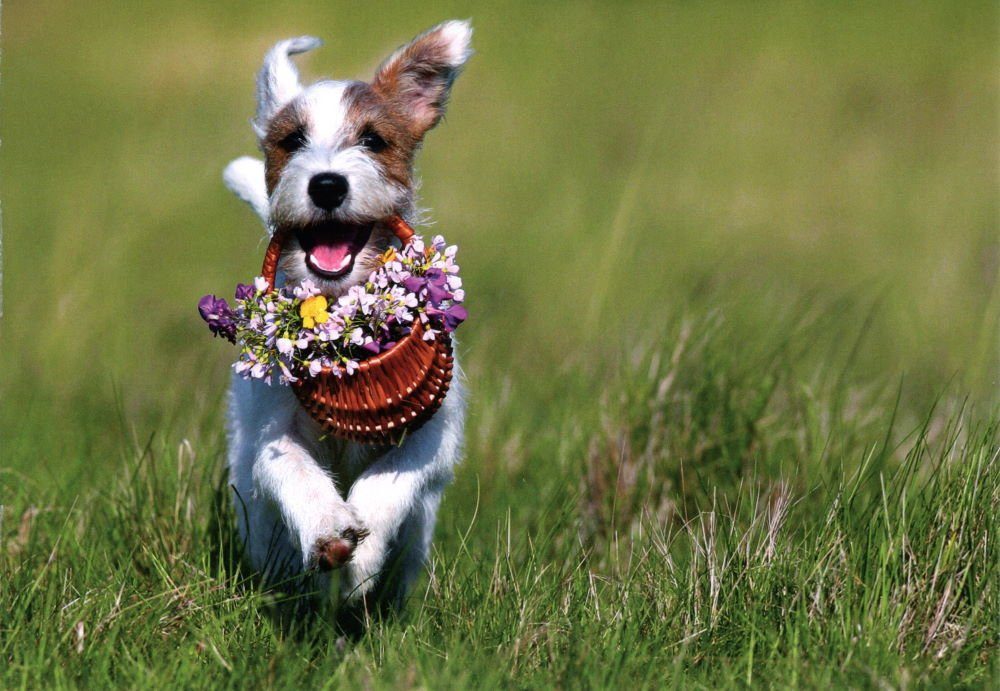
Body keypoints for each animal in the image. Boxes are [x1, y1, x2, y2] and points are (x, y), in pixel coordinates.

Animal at [221, 20, 470, 616]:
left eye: (373, 140)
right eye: (292, 142)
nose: (327, 183)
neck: (342, 312)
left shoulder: (435, 435)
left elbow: (388, 479)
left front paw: (361, 563)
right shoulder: (272, 430)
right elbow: (292, 467)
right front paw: (330, 531)